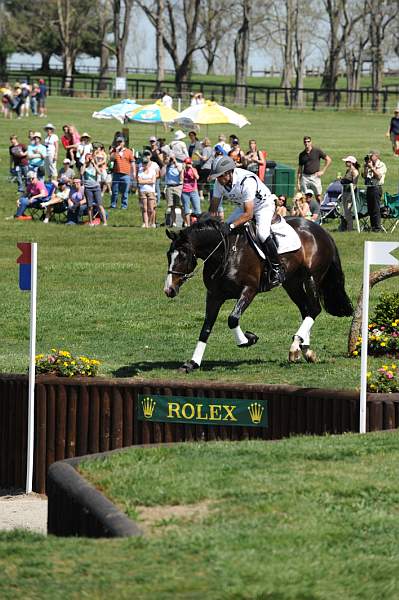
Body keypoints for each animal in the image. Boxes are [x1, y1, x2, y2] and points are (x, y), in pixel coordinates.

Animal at [163, 217, 354, 370]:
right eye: (168, 255)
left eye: (182, 256)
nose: (169, 290)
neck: (225, 253)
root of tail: (320, 230)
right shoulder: (214, 296)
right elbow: (206, 328)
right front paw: (193, 363)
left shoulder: (249, 290)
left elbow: (232, 319)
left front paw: (248, 339)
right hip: (292, 283)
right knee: (306, 310)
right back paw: (305, 350)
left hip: (312, 277)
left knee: (314, 309)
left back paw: (295, 346)